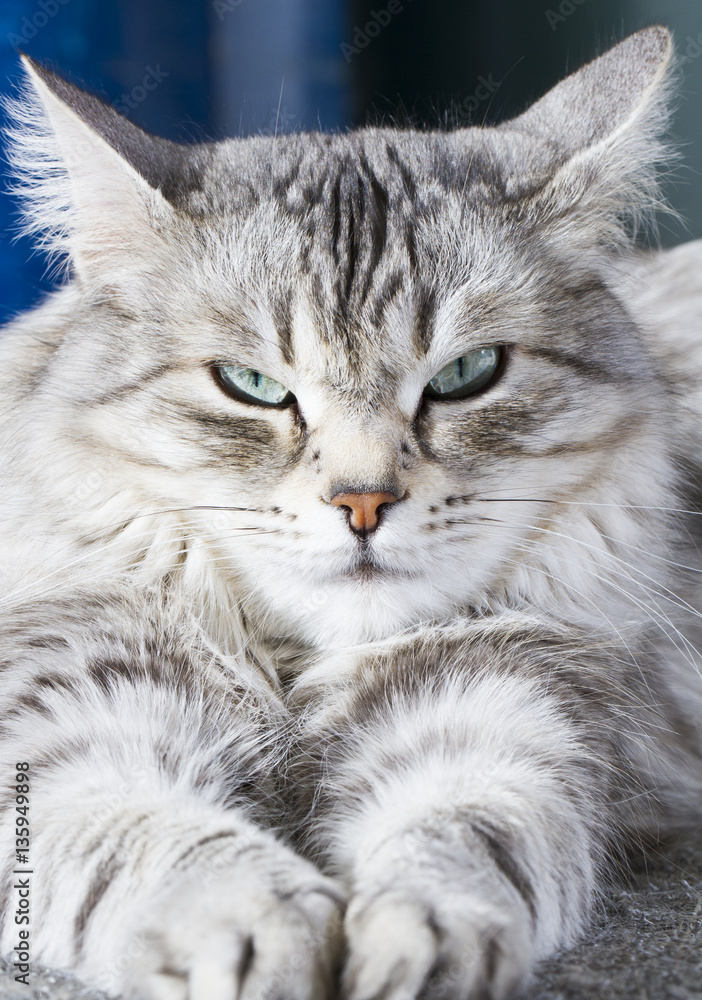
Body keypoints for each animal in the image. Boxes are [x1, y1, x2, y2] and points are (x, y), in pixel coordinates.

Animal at [1, 21, 702, 1000]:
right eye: (250, 384)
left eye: (466, 374)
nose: (363, 502)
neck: (301, 671)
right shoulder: (70, 708)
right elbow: (151, 837)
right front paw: (258, 931)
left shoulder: (505, 704)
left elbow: (467, 834)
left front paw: (418, 941)